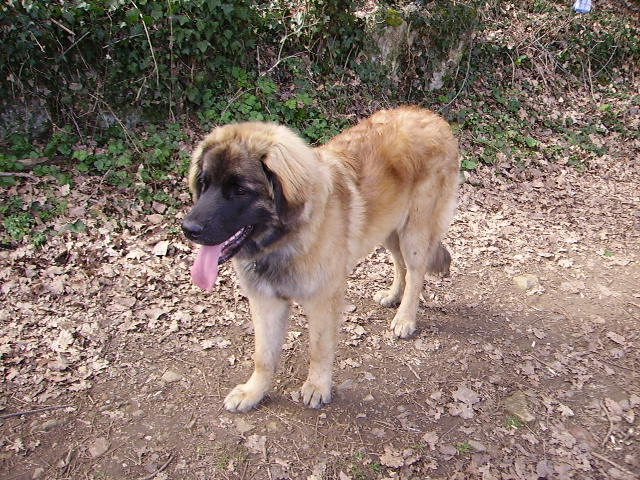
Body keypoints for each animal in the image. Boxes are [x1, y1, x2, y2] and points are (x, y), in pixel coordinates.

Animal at [182, 106, 458, 412]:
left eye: (240, 190)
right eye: (204, 184)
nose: (188, 229)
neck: (285, 239)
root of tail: (432, 117)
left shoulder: (323, 301)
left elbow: (319, 349)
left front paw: (317, 386)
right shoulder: (266, 301)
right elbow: (263, 356)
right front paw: (254, 392)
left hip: (414, 231)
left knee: (416, 271)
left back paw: (405, 318)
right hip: (387, 227)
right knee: (401, 266)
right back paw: (393, 295)